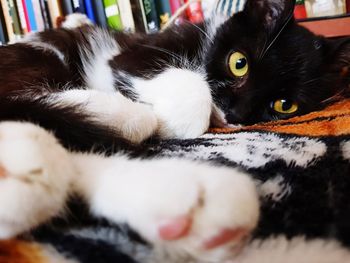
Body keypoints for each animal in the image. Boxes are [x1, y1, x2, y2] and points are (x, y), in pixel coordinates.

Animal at [0, 0, 348, 262]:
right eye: (239, 63)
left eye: (284, 105)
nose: (236, 115)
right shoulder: (131, 54)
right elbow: (189, 94)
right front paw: (170, 117)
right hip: (43, 58)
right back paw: (124, 115)